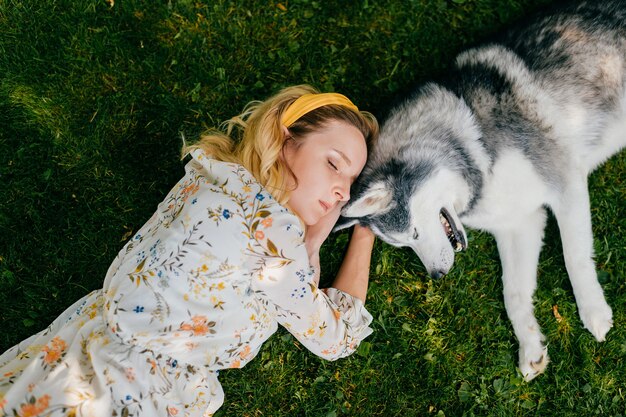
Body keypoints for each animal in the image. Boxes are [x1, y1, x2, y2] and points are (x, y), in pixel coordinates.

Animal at [342, 0, 624, 380]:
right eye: (403, 245)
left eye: (413, 232)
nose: (437, 276)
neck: (472, 141)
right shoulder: (520, 223)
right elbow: (513, 293)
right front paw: (530, 346)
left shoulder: (566, 182)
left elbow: (574, 257)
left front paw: (593, 310)